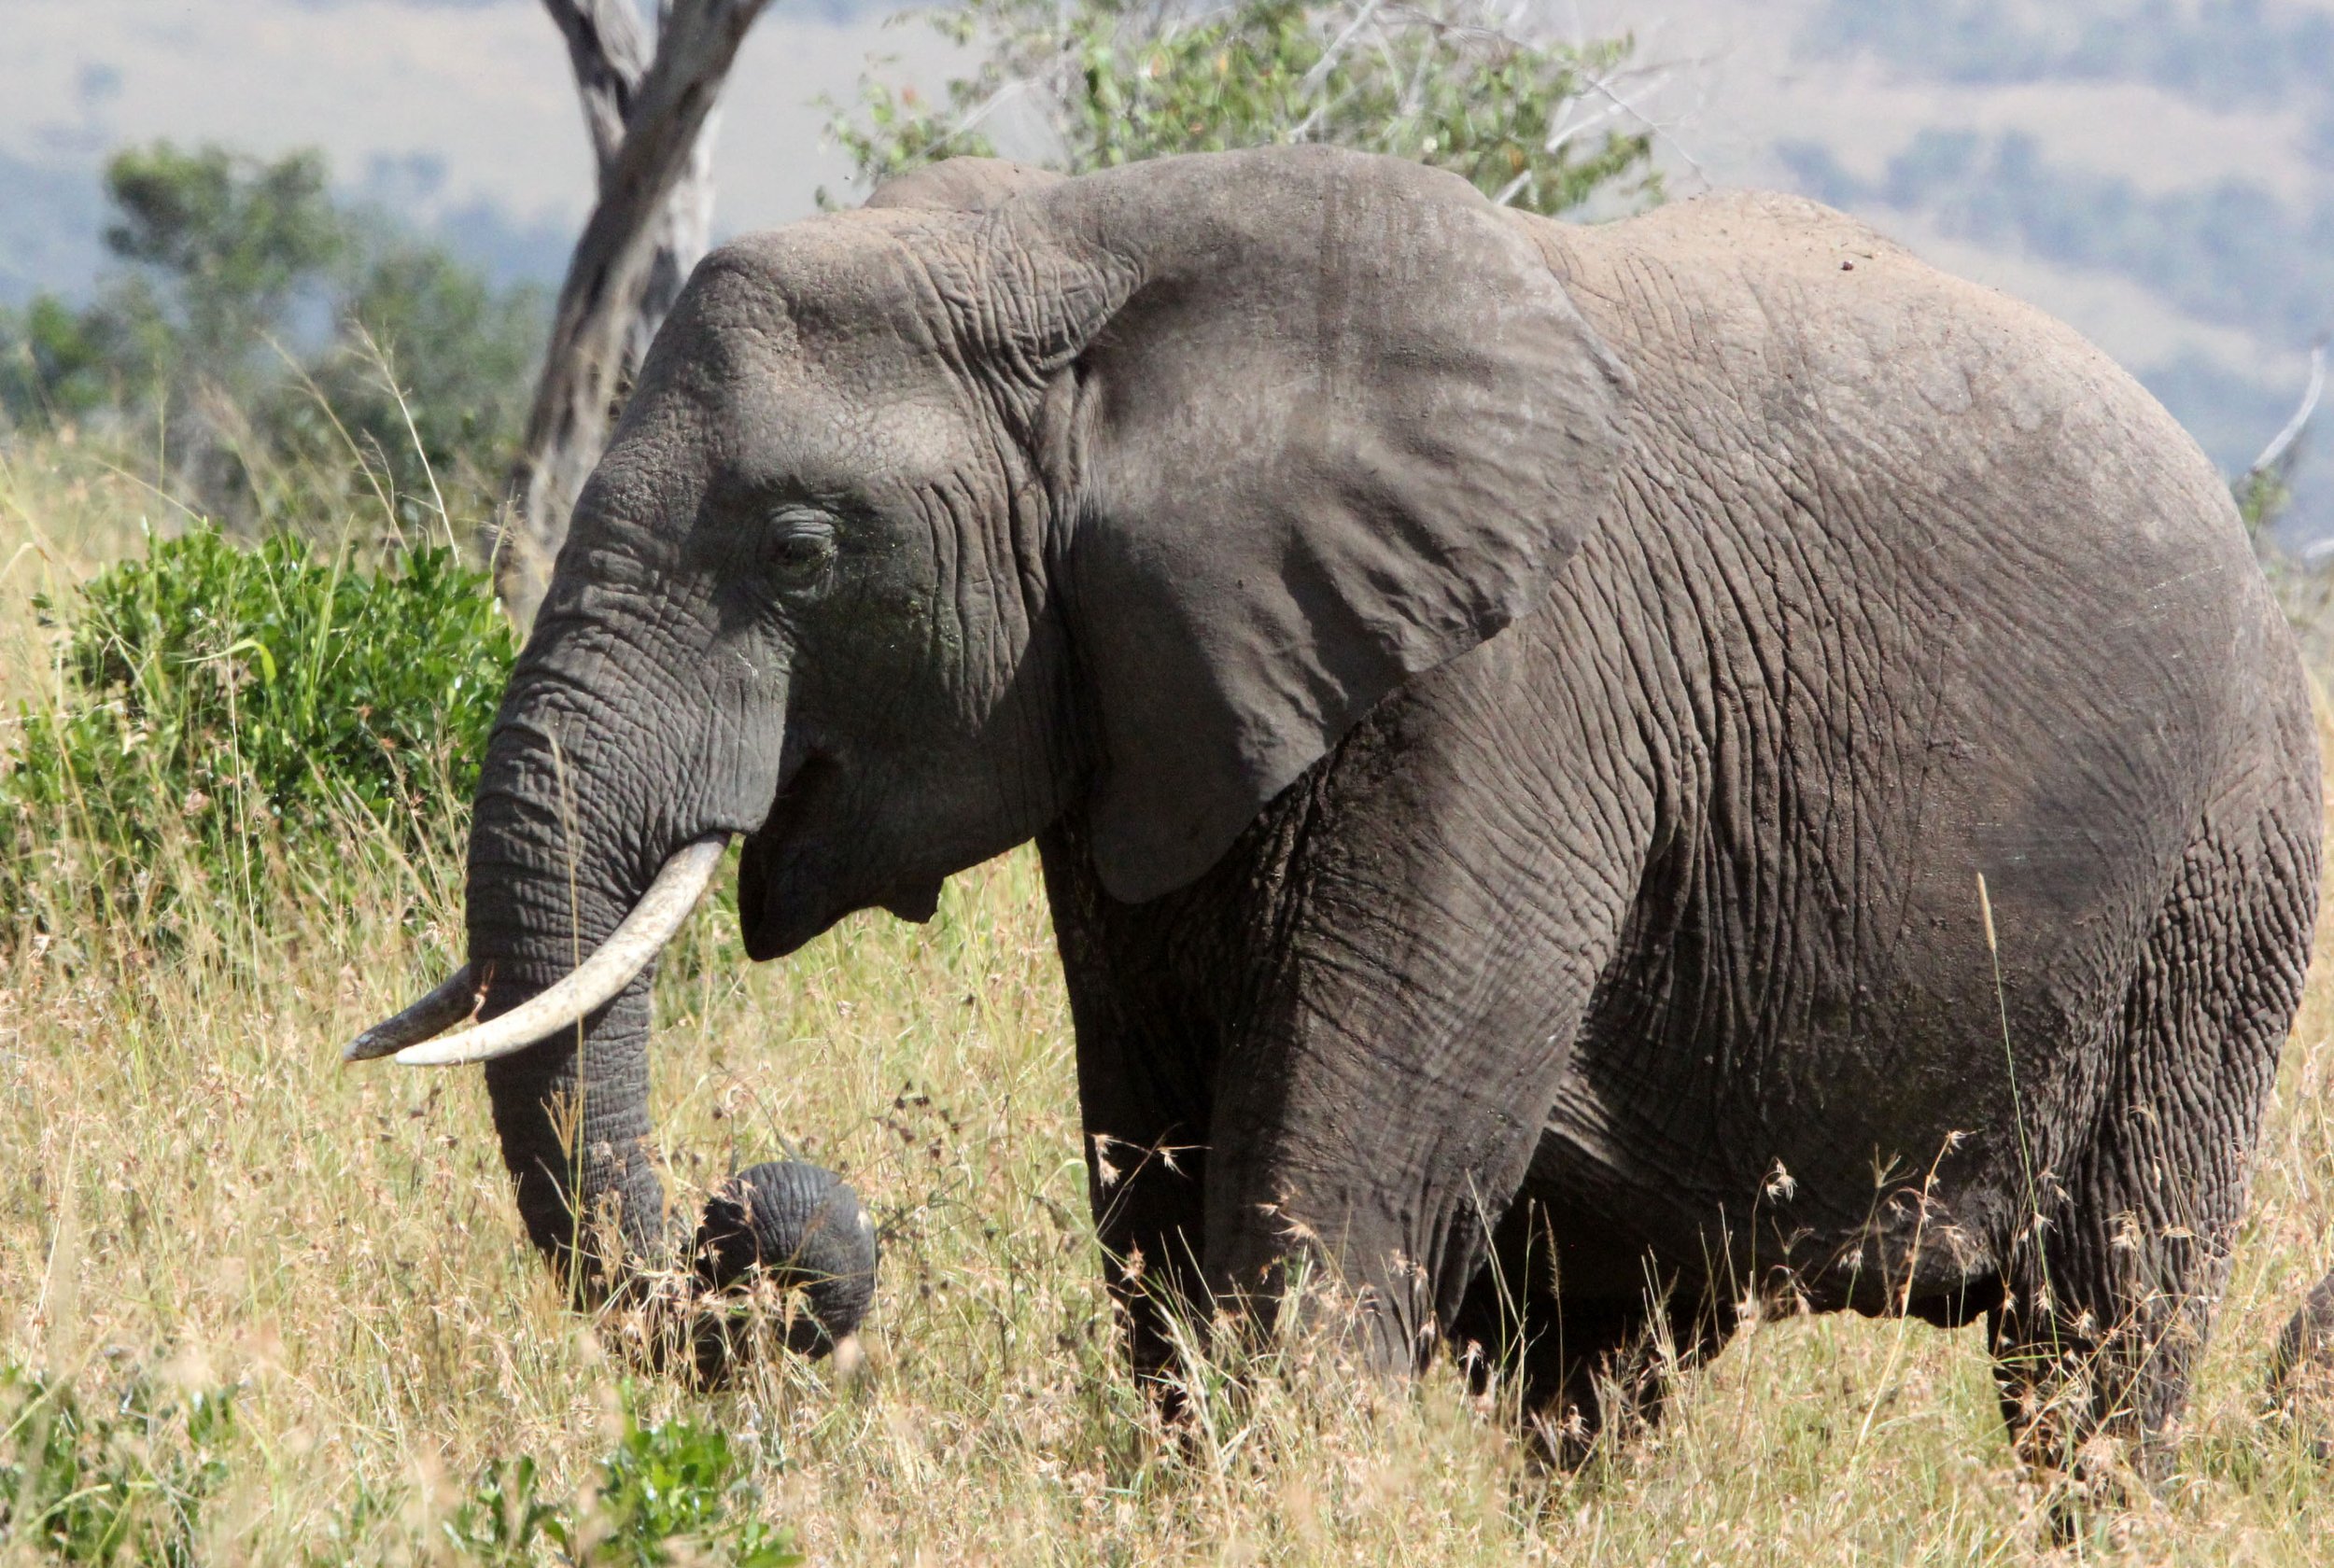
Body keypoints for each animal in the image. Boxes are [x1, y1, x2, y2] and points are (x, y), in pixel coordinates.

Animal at [351, 145, 2330, 1480]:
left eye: (801, 549)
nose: (755, 1212)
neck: (1082, 252)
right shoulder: (1140, 690)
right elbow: (1160, 1192)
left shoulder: (1508, 699)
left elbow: (1327, 1207)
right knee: (1600, 1368)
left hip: (2221, 885)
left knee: (2098, 1342)